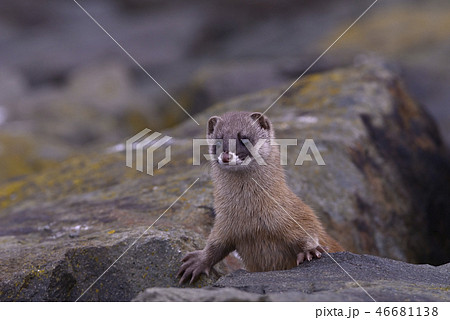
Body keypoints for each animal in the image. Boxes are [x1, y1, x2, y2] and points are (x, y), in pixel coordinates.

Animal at [178, 111, 342, 284]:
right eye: (218, 140)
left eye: (244, 138)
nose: (226, 156)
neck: (252, 218)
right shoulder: (224, 223)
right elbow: (215, 245)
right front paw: (197, 261)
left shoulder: (295, 212)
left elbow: (309, 227)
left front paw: (310, 250)